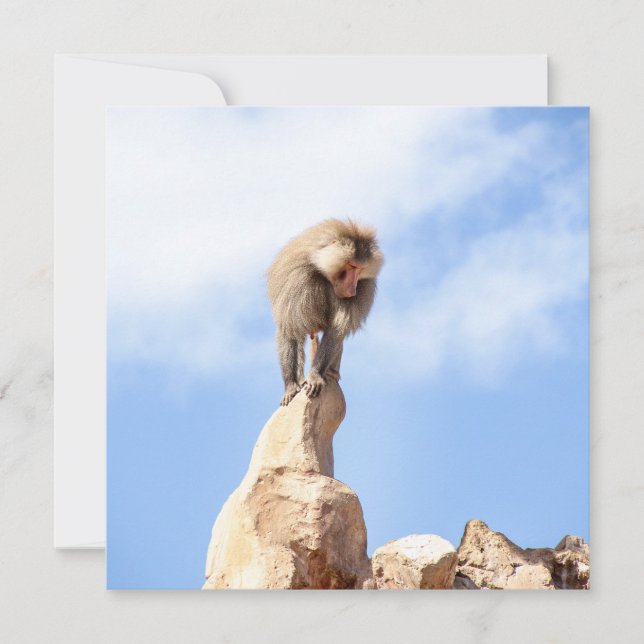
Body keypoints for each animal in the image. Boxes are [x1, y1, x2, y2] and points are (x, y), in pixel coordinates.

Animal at [267, 219, 384, 406]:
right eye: (351, 266)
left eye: (360, 269)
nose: (352, 290)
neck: (322, 270)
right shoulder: (296, 279)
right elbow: (289, 328)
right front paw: (290, 386)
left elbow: (335, 331)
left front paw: (315, 376)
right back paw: (300, 380)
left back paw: (330, 374)